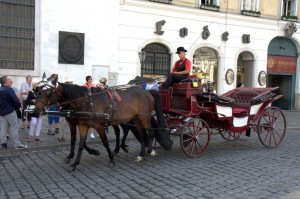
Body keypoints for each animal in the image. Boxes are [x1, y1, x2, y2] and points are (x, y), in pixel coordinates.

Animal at [34, 77, 171, 170]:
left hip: (144, 117)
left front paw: (110, 158)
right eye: (38, 91)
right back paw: (140, 154)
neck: (86, 101)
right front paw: (75, 161)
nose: (36, 109)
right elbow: (79, 143)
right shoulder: (81, 124)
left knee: (150, 132)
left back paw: (150, 150)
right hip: (135, 119)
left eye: (48, 92)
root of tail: (147, 92)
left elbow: (105, 143)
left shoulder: (98, 126)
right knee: (142, 135)